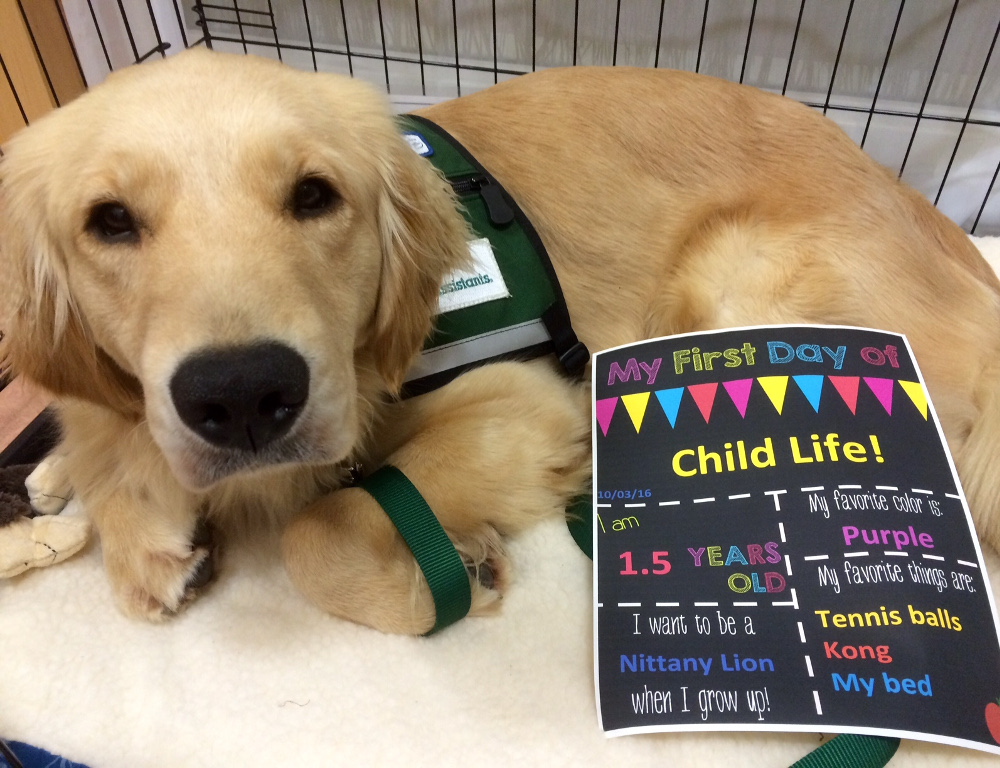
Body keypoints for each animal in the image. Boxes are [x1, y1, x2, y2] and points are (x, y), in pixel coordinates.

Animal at [1, 49, 1000, 636]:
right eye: (110, 221)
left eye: (316, 196)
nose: (244, 395)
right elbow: (101, 439)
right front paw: (97, 503)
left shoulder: (526, 400)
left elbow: (316, 531)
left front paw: (446, 577)